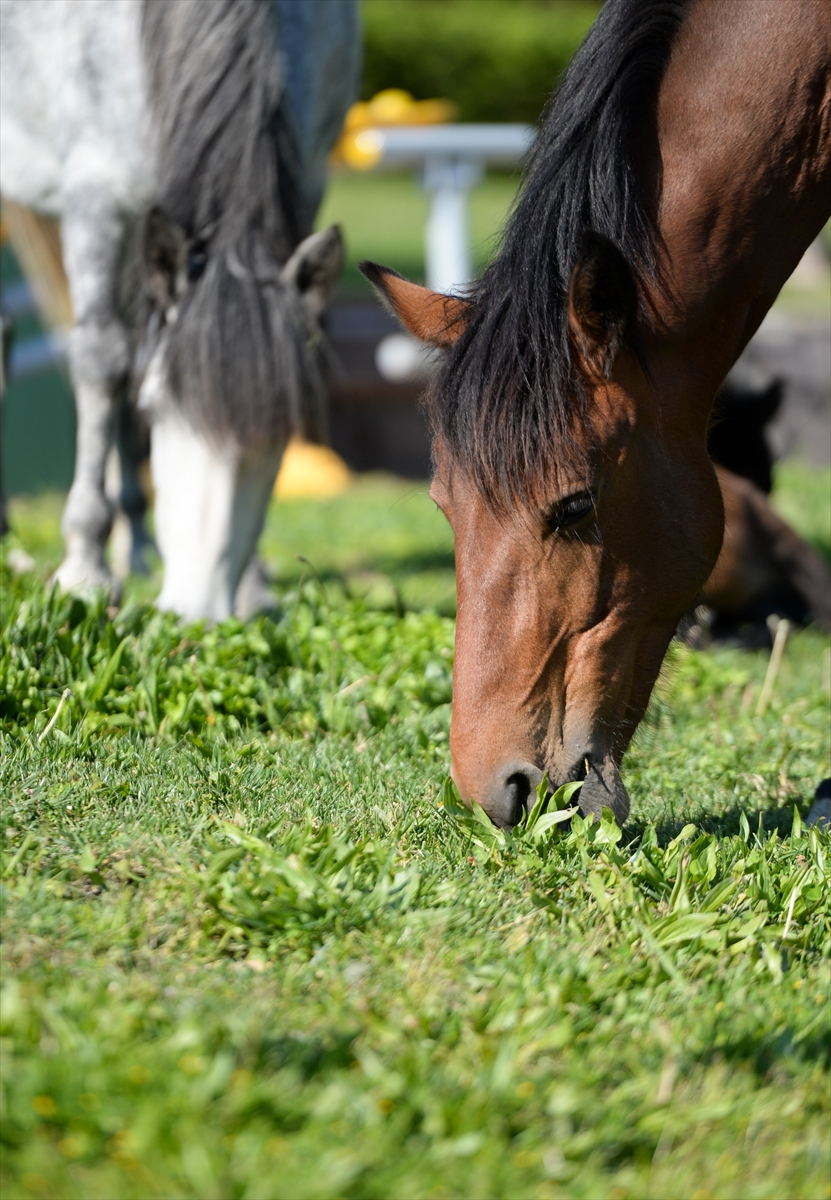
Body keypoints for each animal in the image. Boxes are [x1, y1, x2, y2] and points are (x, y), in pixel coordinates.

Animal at [0, 0, 357, 619]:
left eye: (283, 434)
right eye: (157, 410)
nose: (198, 608)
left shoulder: (308, 179)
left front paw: (253, 583)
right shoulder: (96, 189)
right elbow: (102, 362)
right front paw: (83, 568)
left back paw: (135, 545)